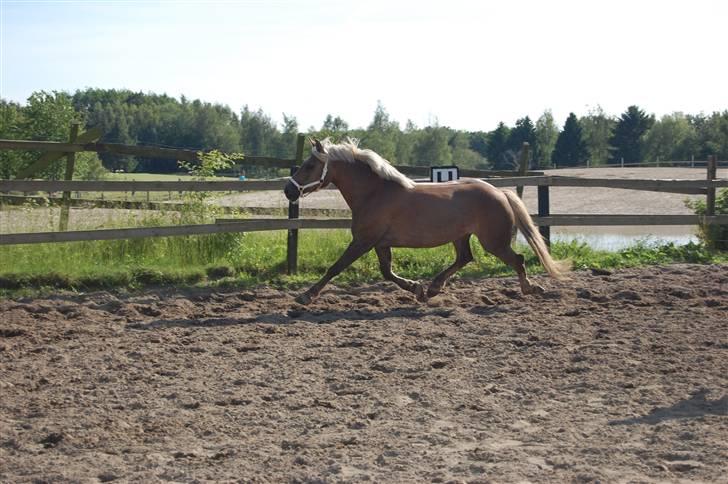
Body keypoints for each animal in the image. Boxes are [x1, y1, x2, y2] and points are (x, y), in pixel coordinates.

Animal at [282, 136, 564, 304]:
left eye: (309, 166)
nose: (288, 191)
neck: (374, 193)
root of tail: (499, 192)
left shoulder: (363, 241)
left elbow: (336, 267)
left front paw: (306, 295)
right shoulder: (380, 243)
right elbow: (387, 272)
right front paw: (416, 288)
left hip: (493, 241)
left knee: (517, 259)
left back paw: (530, 289)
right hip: (462, 236)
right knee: (465, 258)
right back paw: (434, 288)